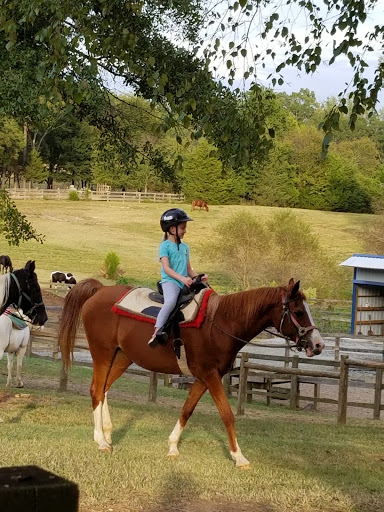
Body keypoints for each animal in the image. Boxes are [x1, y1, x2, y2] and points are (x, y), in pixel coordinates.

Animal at [59, 280, 324, 468]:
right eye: (298, 311)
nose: (318, 344)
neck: (220, 323)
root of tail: (100, 290)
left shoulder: (203, 378)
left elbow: (187, 409)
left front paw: (173, 447)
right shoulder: (210, 375)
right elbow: (227, 414)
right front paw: (239, 457)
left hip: (122, 356)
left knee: (103, 389)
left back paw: (107, 432)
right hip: (102, 353)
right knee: (96, 390)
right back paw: (101, 441)